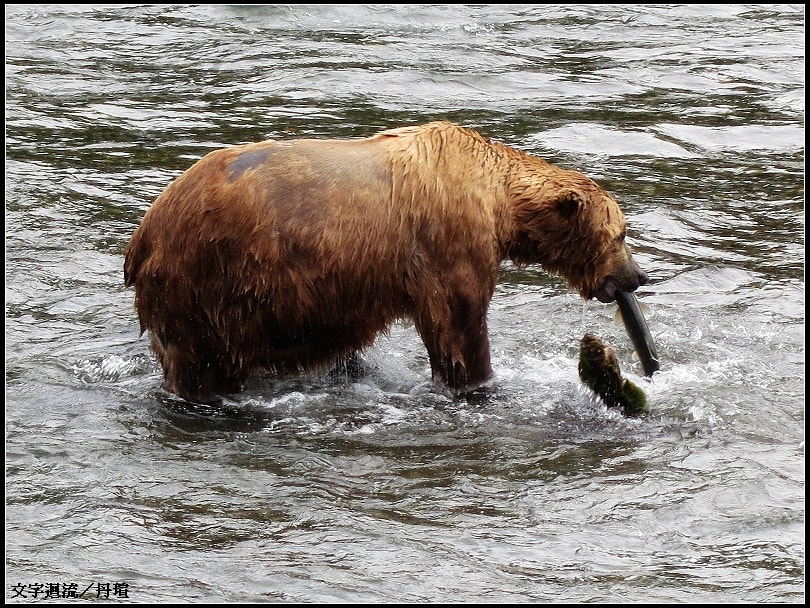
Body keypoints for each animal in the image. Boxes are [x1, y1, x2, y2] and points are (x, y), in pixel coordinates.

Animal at [124, 121, 648, 403]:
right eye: (621, 233)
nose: (637, 276)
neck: (498, 202)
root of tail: (143, 235)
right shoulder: (450, 245)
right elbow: (461, 327)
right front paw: (479, 381)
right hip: (211, 278)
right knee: (201, 359)